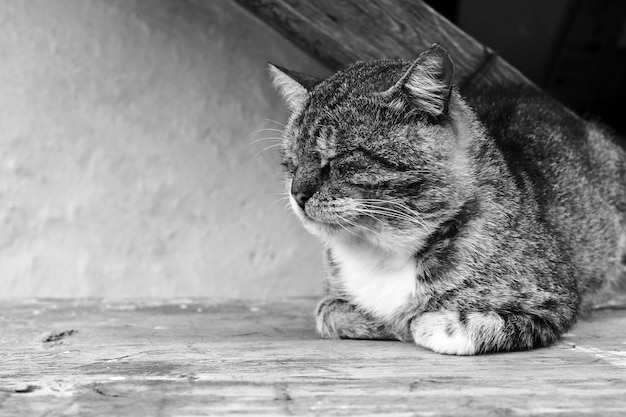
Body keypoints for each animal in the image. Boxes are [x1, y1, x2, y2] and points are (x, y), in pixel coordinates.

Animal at [266, 44, 624, 352]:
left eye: (340, 157)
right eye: (291, 162)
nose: (297, 193)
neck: (381, 252)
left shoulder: (554, 301)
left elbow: (439, 325)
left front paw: (418, 323)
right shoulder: (331, 297)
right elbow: (327, 313)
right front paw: (377, 321)